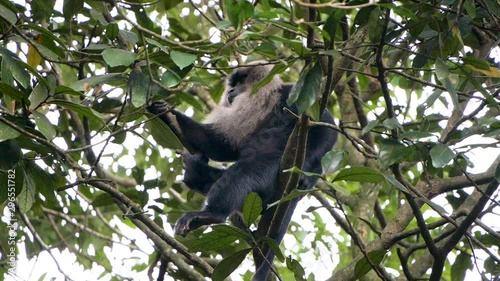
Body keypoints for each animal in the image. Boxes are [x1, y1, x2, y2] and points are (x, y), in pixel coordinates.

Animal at [146, 62, 338, 278]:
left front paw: (305, 172)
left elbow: (326, 125)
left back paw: (210, 214)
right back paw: (195, 172)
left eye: (242, 82)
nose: (230, 91)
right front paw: (164, 112)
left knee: (246, 171)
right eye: (233, 84)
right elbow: (222, 146)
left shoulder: (289, 95)